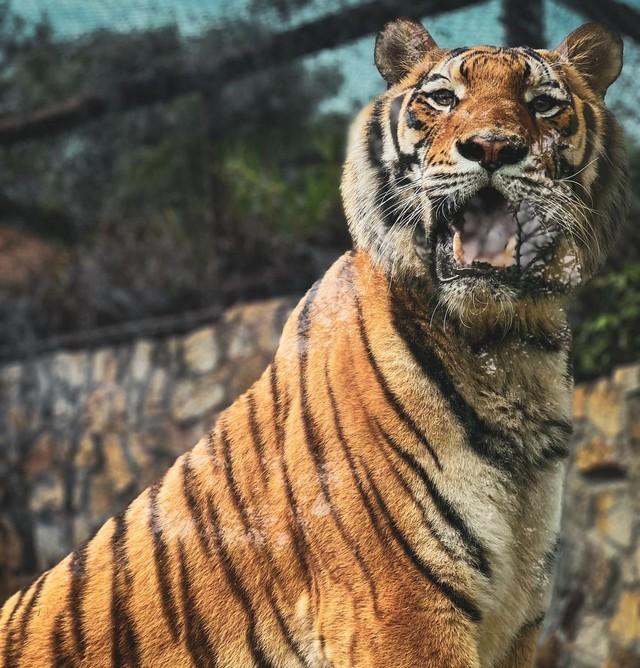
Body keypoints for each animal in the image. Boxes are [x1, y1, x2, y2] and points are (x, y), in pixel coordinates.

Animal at [0, 18, 628, 668]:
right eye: (442, 98)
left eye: (543, 103)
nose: (493, 147)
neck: (506, 347)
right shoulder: (400, 609)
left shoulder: (515, 621)